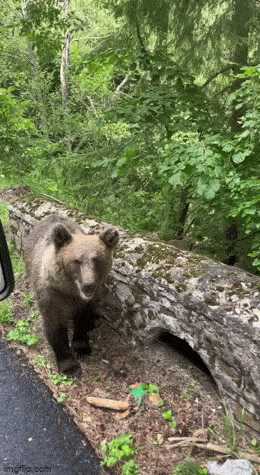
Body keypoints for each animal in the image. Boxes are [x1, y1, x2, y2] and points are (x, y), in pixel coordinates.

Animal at [23, 215, 119, 376]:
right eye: (77, 260)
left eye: (97, 259)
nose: (89, 284)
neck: (70, 290)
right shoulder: (52, 296)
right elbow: (54, 328)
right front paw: (70, 367)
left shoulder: (86, 301)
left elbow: (83, 318)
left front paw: (82, 347)